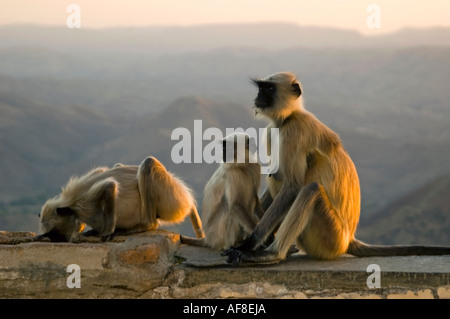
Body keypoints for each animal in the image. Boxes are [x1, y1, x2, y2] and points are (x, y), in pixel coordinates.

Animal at [38, 156, 204, 242]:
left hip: (170, 195)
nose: (58, 239)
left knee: (148, 163)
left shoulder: (86, 201)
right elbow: (103, 170)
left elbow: (110, 186)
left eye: (54, 232)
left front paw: (106, 233)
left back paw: (142, 226)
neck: (71, 203)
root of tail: (186, 197)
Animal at [223, 72, 450, 268]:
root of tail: (348, 239)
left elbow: (293, 185)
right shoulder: (273, 131)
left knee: (310, 190)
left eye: (268, 88)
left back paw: (273, 254)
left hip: (330, 237)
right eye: (261, 88)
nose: (258, 97)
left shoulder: (294, 131)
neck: (288, 117)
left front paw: (248, 244)